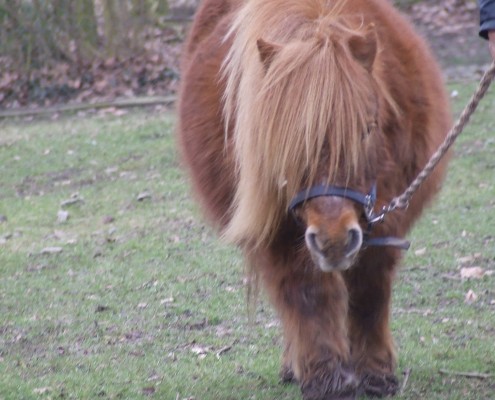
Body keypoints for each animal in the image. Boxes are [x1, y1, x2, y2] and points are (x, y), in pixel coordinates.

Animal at [179, 1, 454, 398]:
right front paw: (328, 378)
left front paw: (375, 373)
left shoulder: (384, 218)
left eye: (367, 129)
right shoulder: (277, 231)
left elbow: (369, 291)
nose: (333, 238)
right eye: (284, 142)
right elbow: (308, 295)